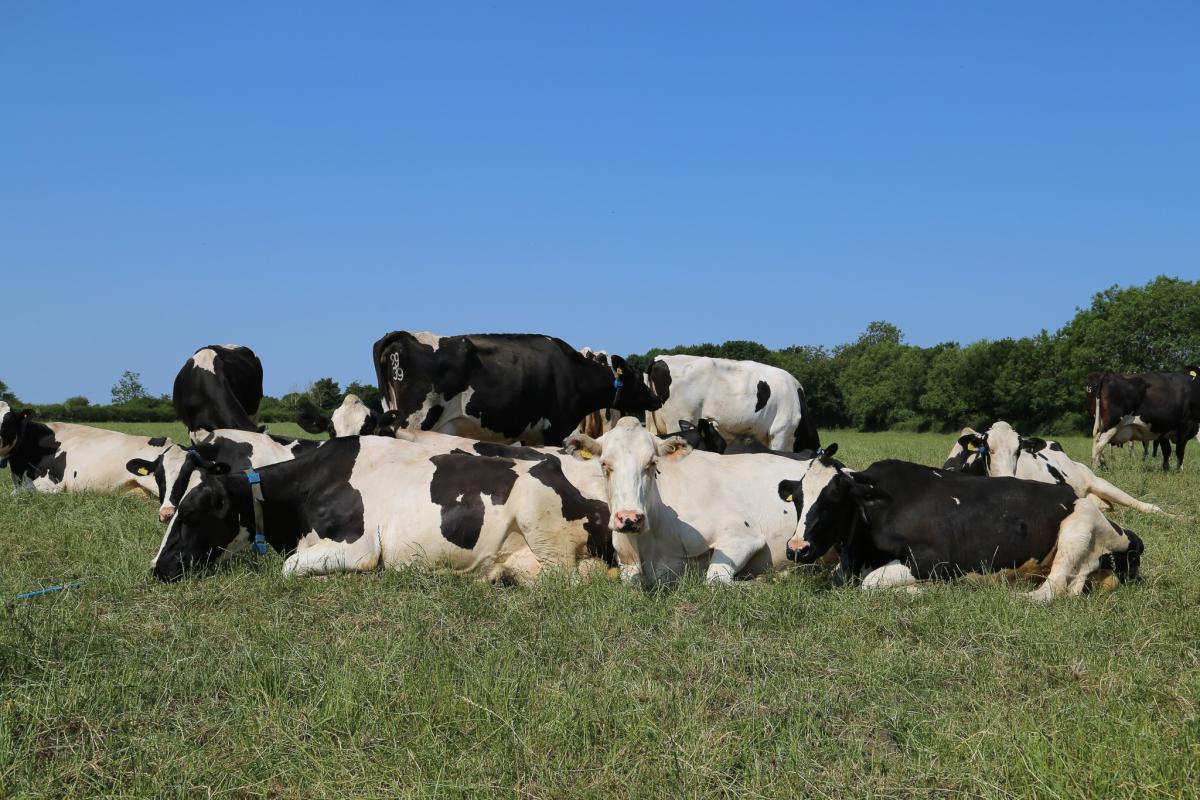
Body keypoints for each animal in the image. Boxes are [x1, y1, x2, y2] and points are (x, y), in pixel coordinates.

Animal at [148, 435, 613, 584]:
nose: (156, 568)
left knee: (564, 580)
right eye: (167, 498)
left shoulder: (359, 546)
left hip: (540, 521)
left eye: (191, 512)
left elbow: (290, 567)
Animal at [371, 331, 661, 446]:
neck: (573, 372)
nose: (657, 400)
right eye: (638, 378)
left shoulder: (533, 434)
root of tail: (404, 335)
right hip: (416, 419)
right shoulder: (556, 428)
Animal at [562, 417, 811, 586]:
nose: (630, 518)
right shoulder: (627, 561)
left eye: (652, 463)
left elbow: (714, 579)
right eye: (604, 463)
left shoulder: (743, 536)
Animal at [778, 453, 1144, 603]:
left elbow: (871, 584)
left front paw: (923, 590)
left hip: (1078, 526)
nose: (795, 549)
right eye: (797, 500)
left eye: (832, 501)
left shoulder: (934, 560)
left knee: (1052, 590)